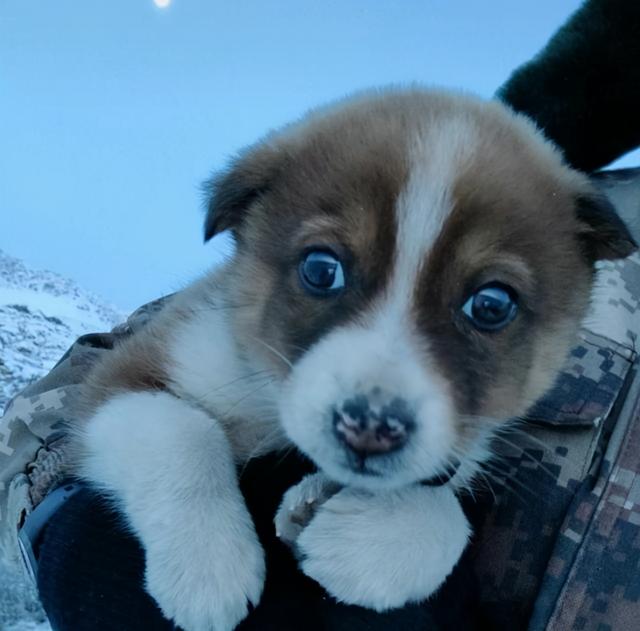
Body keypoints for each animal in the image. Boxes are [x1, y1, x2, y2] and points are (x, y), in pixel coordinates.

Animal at [70, 87, 636, 631]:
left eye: (492, 304)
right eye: (322, 269)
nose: (370, 427)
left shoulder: (463, 445)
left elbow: (450, 511)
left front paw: (371, 542)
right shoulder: (132, 369)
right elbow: (185, 432)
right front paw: (210, 566)